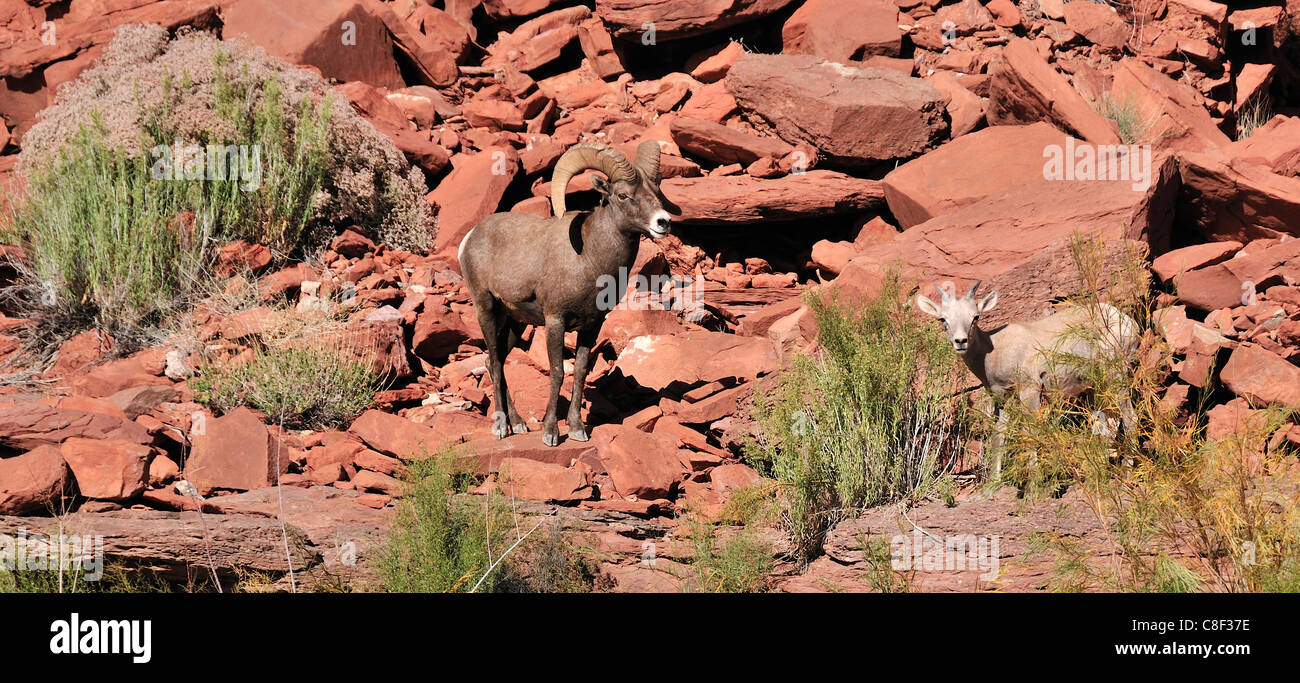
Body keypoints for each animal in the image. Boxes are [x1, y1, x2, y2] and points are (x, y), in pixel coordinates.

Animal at [460, 141, 681, 444]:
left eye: (656, 190)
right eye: (623, 195)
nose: (663, 222)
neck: (589, 258)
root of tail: (470, 238)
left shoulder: (592, 325)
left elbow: (579, 371)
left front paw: (577, 429)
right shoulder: (555, 321)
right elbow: (556, 372)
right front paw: (551, 433)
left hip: (515, 323)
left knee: (496, 363)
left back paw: (518, 424)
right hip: (486, 310)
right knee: (493, 362)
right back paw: (502, 428)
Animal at [915, 279, 1138, 476]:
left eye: (975, 317)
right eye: (943, 319)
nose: (960, 341)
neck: (994, 351)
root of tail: (1129, 322)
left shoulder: (1030, 390)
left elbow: (1031, 432)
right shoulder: (1003, 398)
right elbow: (998, 436)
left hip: (1115, 374)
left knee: (1129, 418)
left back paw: (1127, 472)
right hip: (1099, 385)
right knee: (1109, 422)